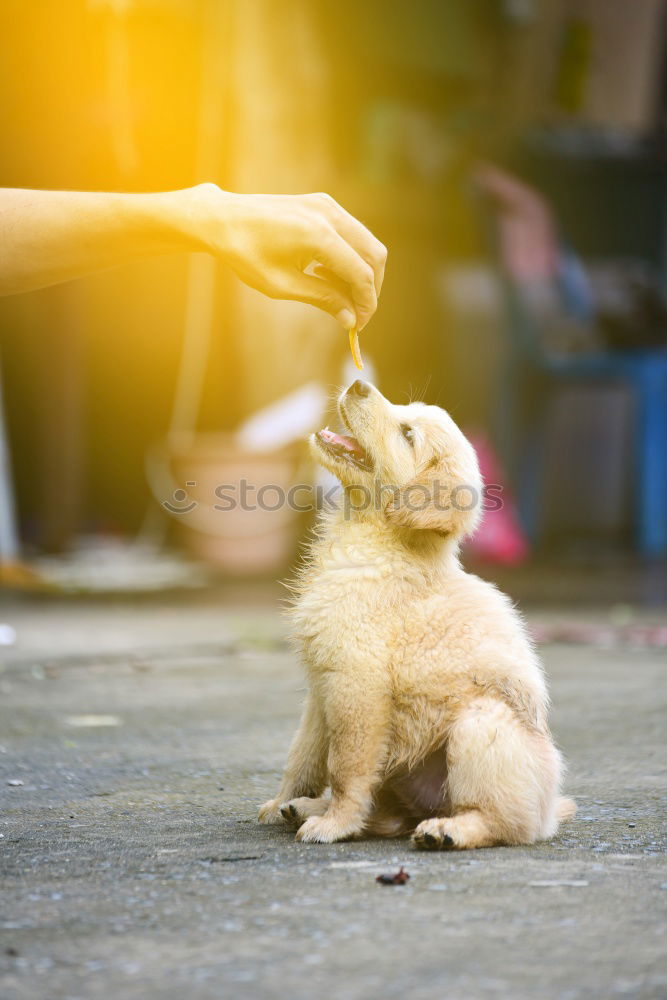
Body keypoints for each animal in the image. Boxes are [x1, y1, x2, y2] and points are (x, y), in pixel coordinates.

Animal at [258, 378, 576, 848]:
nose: (358, 383)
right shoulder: (321, 687)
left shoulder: (358, 684)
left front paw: (334, 824)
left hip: (481, 725)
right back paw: (305, 806)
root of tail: (549, 812)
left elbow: (345, 764)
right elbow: (303, 755)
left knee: (503, 823)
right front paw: (284, 800)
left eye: (408, 434)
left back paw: (447, 831)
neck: (376, 539)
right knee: (389, 816)